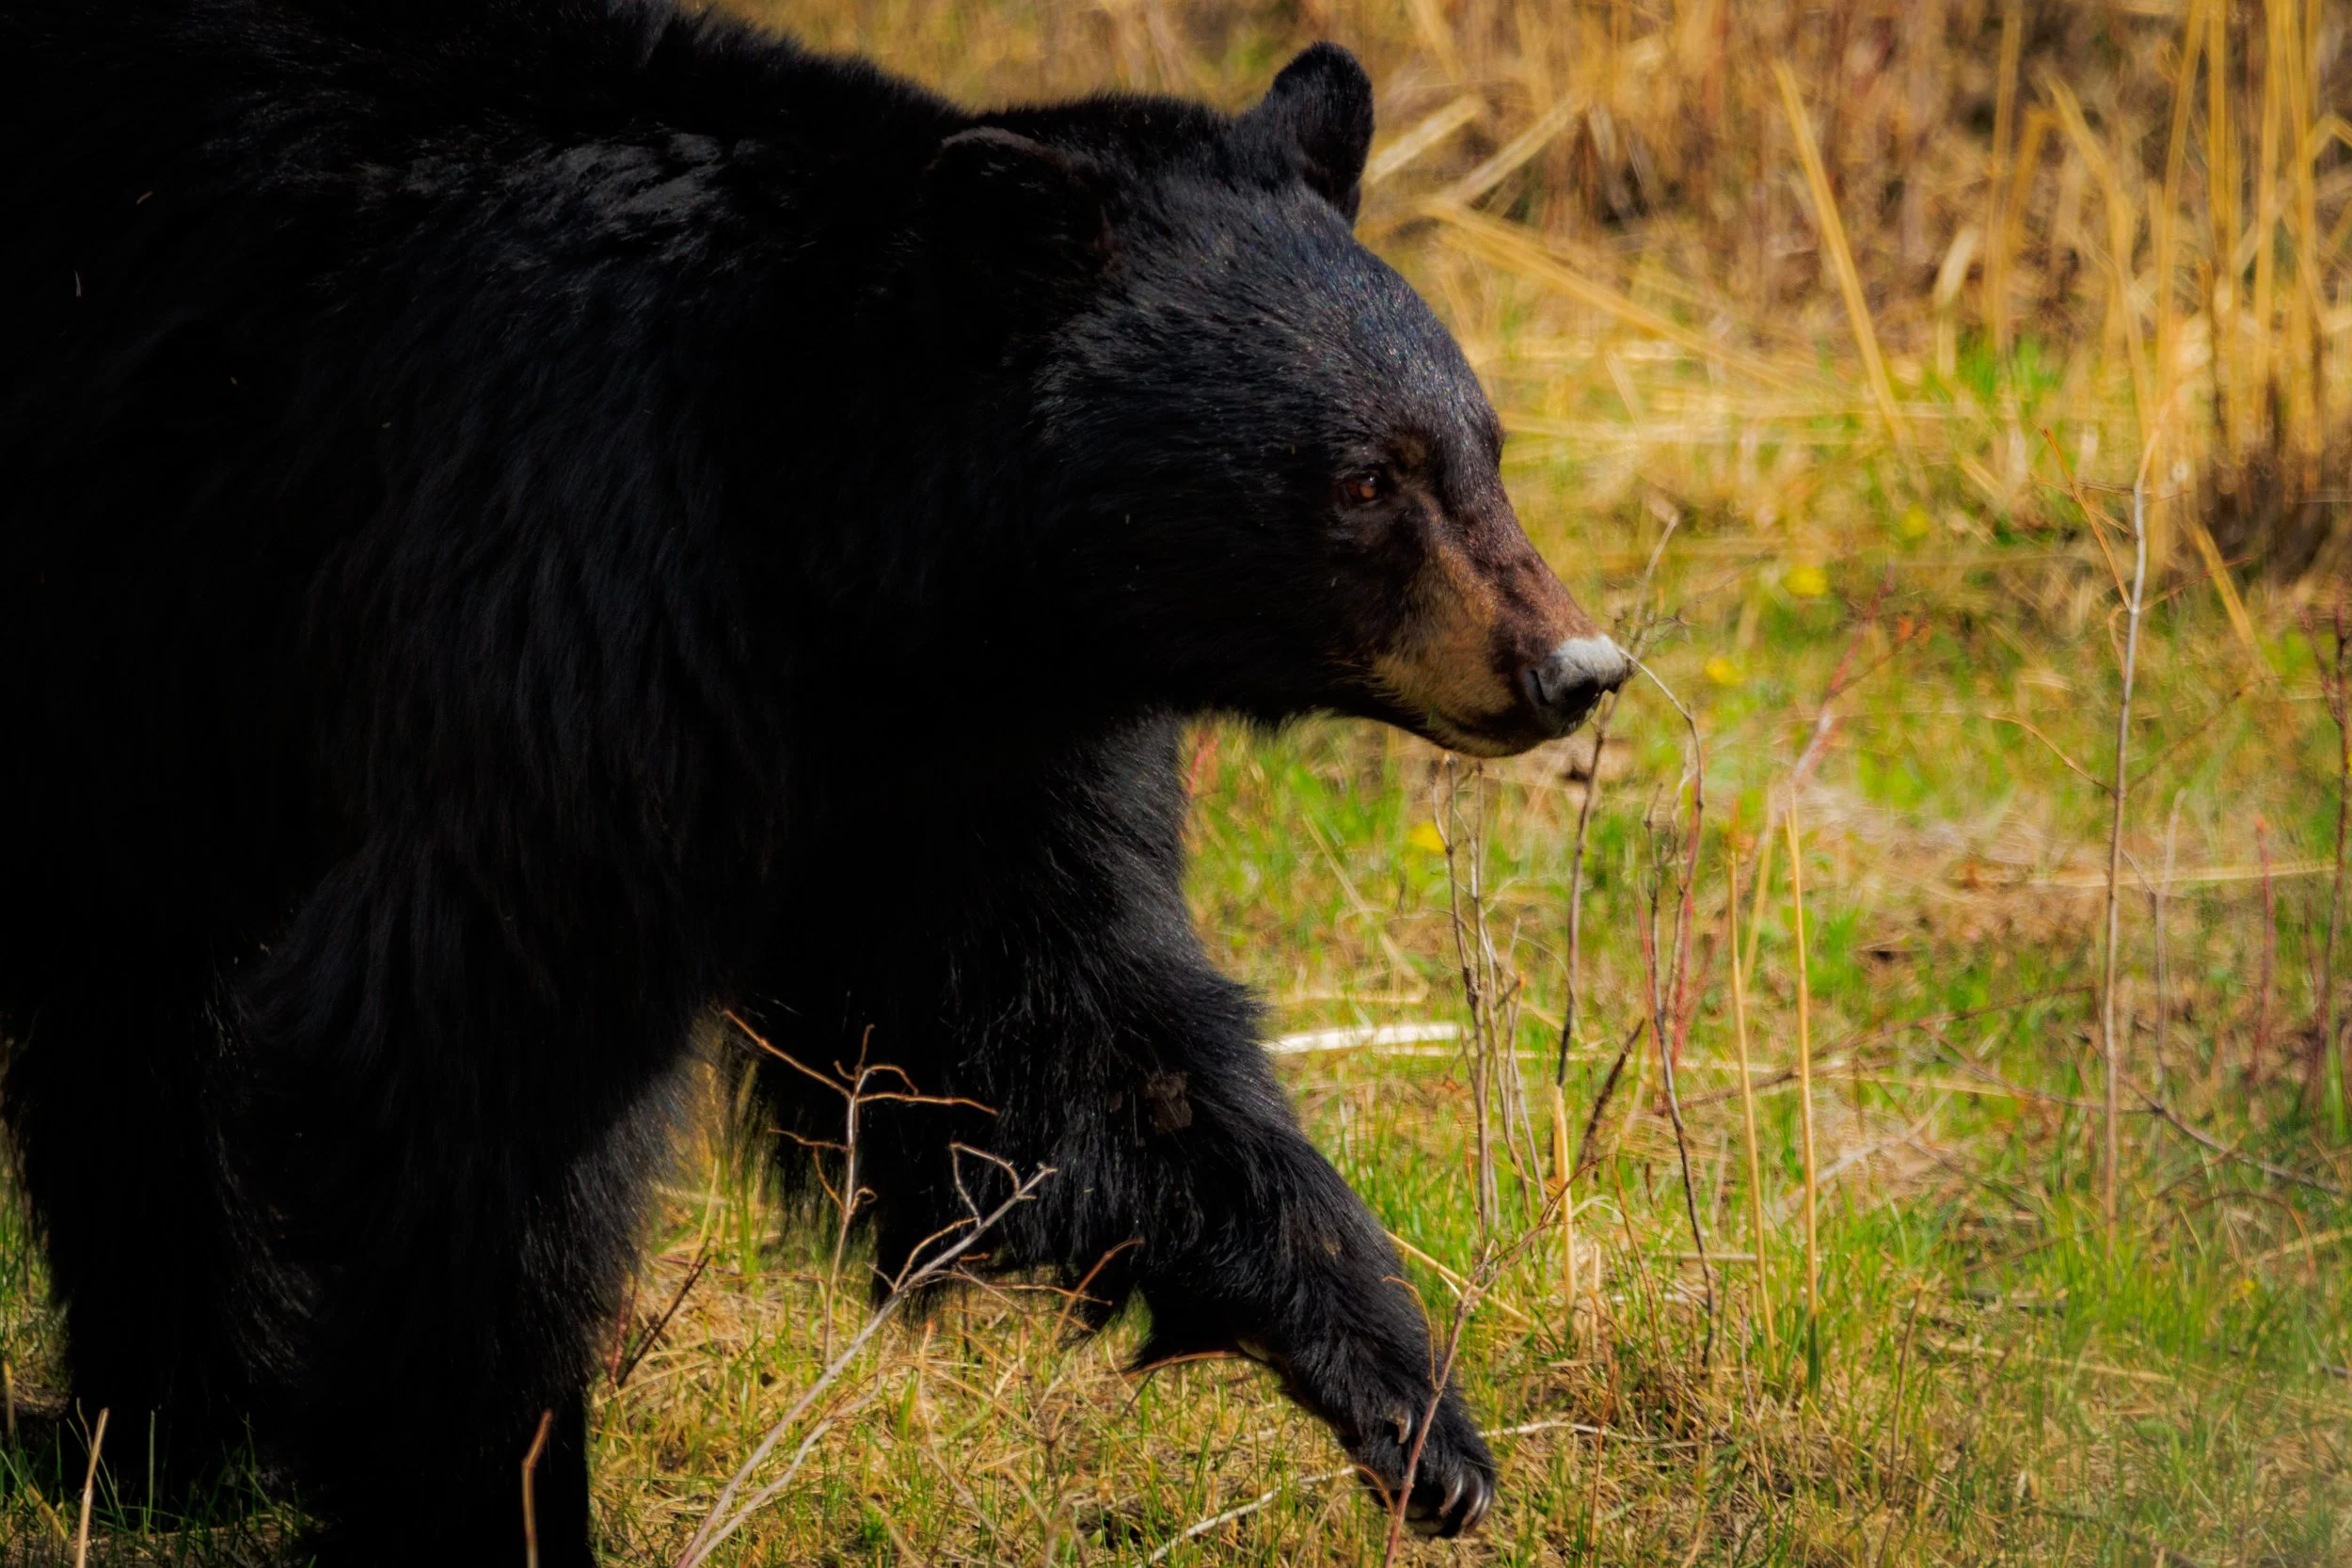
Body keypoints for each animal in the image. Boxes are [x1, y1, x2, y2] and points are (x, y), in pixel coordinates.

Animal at [0, 0, 1632, 1561]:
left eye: (1482, 449)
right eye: (1363, 478)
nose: (1577, 666)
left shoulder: (958, 744)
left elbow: (1040, 1025)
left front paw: (1415, 1404)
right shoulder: (566, 581)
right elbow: (462, 1054)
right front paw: (500, 1499)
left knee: (132, 1016)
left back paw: (165, 1429)